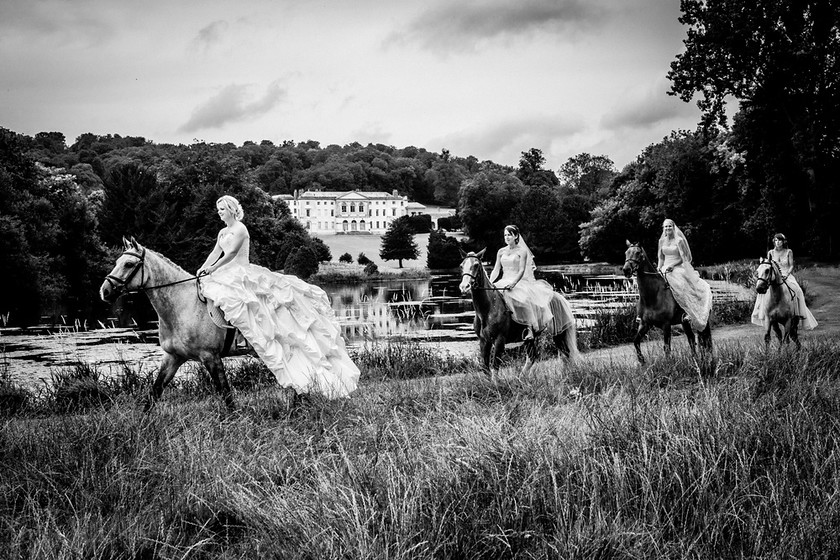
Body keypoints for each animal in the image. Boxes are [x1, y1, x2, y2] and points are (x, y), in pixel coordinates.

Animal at [103, 237, 238, 412]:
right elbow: (155, 392)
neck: (183, 306)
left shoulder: (211, 356)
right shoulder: (173, 356)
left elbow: (226, 393)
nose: (104, 291)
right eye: (117, 262)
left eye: (129, 264)